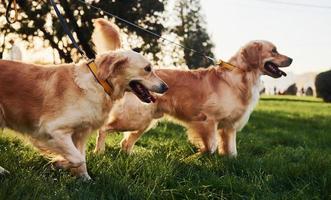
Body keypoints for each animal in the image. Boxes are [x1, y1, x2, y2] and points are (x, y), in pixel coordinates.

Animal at [0, 25, 169, 180]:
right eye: (147, 68)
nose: (166, 87)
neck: (99, 83)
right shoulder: (51, 130)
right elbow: (78, 159)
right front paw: (58, 163)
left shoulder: (81, 133)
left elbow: (81, 159)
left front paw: (85, 179)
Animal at [92, 18, 292, 156]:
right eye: (274, 50)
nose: (291, 59)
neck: (242, 76)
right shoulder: (207, 120)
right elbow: (211, 146)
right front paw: (198, 157)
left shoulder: (229, 127)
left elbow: (232, 151)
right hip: (134, 118)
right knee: (103, 129)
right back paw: (99, 151)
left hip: (144, 122)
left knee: (125, 143)